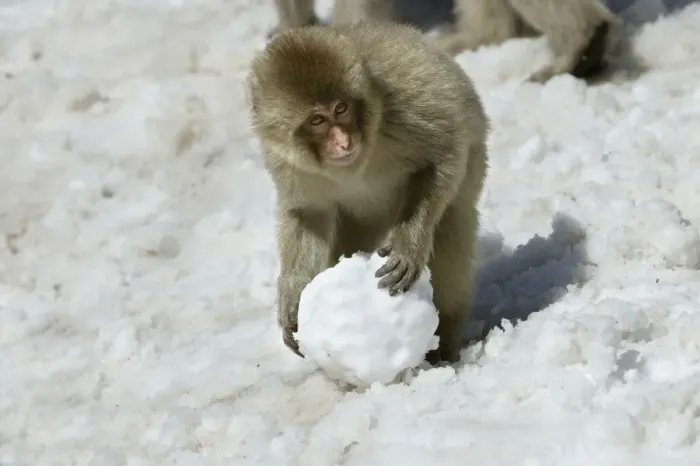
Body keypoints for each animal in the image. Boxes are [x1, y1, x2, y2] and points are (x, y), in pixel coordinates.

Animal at [247, 21, 489, 364]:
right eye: (317, 120)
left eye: (341, 108)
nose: (344, 142)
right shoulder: (284, 160)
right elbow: (306, 214)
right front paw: (292, 295)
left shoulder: (402, 104)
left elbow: (445, 151)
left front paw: (407, 245)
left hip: (472, 171)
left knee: (449, 247)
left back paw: (441, 347)